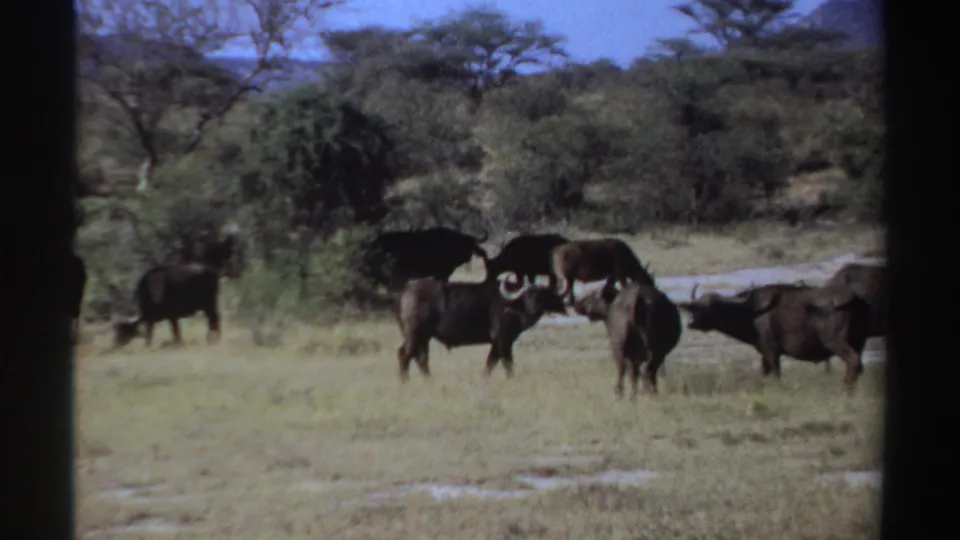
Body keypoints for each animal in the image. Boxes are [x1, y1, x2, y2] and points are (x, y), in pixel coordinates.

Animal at [395, 272, 567, 381]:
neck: (514, 306)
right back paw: (404, 381)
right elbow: (507, 363)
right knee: (405, 354)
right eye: (528, 296)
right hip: (416, 334)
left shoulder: (497, 343)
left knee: (420, 357)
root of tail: (407, 291)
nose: (534, 309)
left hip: (423, 337)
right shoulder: (503, 340)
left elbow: (491, 362)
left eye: (543, 296)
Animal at [678, 283, 872, 388]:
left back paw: (845, 387)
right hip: (859, 342)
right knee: (859, 365)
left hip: (837, 341)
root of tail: (854, 298)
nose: (691, 323)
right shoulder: (764, 352)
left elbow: (776, 373)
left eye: (713, 306)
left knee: (853, 361)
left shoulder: (771, 350)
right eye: (696, 306)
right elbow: (765, 372)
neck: (752, 312)